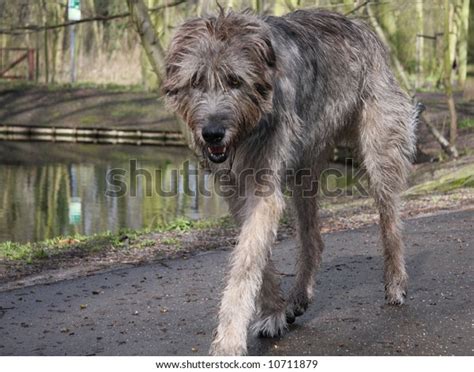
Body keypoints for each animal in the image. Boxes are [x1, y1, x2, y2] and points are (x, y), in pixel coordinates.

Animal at [165, 8, 416, 354]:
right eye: (195, 80)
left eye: (234, 80)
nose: (212, 133)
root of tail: (364, 29)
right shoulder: (236, 188)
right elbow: (257, 255)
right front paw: (273, 312)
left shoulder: (263, 187)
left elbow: (245, 262)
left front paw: (229, 341)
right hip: (306, 163)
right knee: (312, 236)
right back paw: (298, 296)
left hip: (379, 150)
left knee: (390, 218)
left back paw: (395, 282)